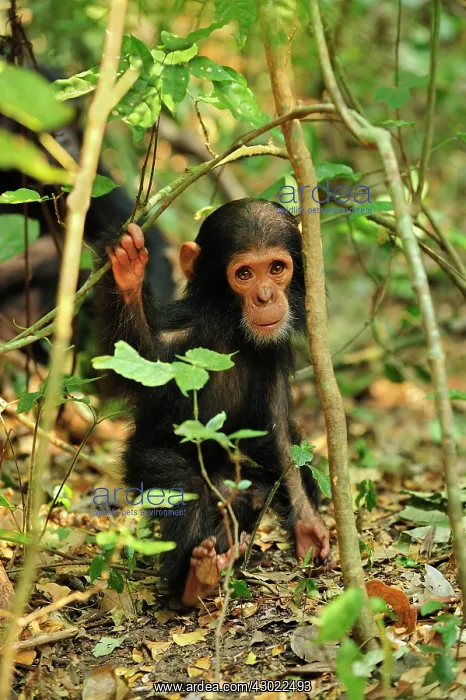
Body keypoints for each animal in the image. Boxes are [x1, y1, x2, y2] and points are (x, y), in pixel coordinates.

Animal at [96, 198, 330, 606]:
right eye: (244, 274)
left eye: (276, 268)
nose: (266, 296)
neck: (232, 327)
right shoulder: (180, 335)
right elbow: (137, 361)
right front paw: (128, 274)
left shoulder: (274, 351)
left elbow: (276, 431)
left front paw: (308, 526)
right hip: (142, 461)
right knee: (185, 486)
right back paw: (194, 580)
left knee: (252, 494)